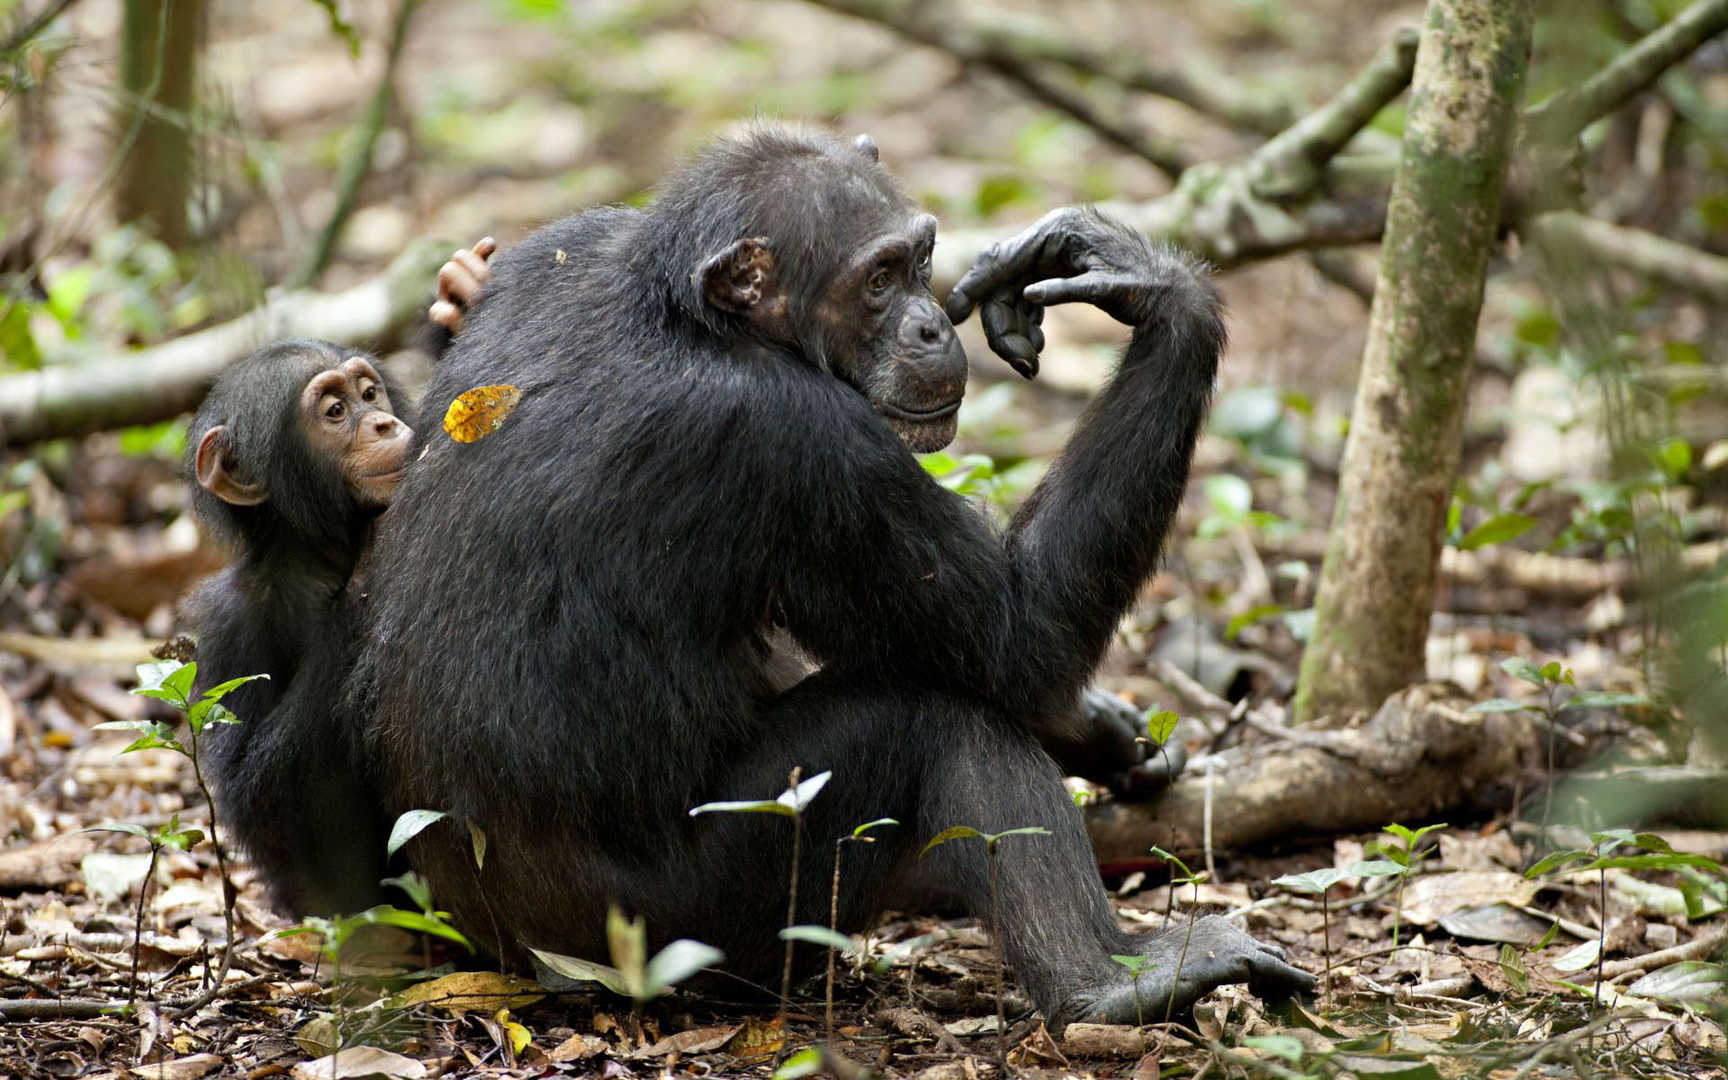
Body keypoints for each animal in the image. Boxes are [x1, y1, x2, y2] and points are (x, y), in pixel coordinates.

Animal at [184, 240, 494, 912]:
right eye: (333, 411)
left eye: (370, 394)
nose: (381, 424)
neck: (318, 551)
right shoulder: (230, 628)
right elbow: (263, 796)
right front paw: (367, 571)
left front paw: (461, 296)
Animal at [364, 124, 1306, 1016]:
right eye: (878, 280)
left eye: (921, 260)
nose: (932, 324)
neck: (691, 315)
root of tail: (508, 956)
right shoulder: (801, 440)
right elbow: (1020, 641)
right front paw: (1152, 285)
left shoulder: (559, 246)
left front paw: (1108, 733)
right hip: (693, 922)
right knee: (933, 723)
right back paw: (1112, 984)